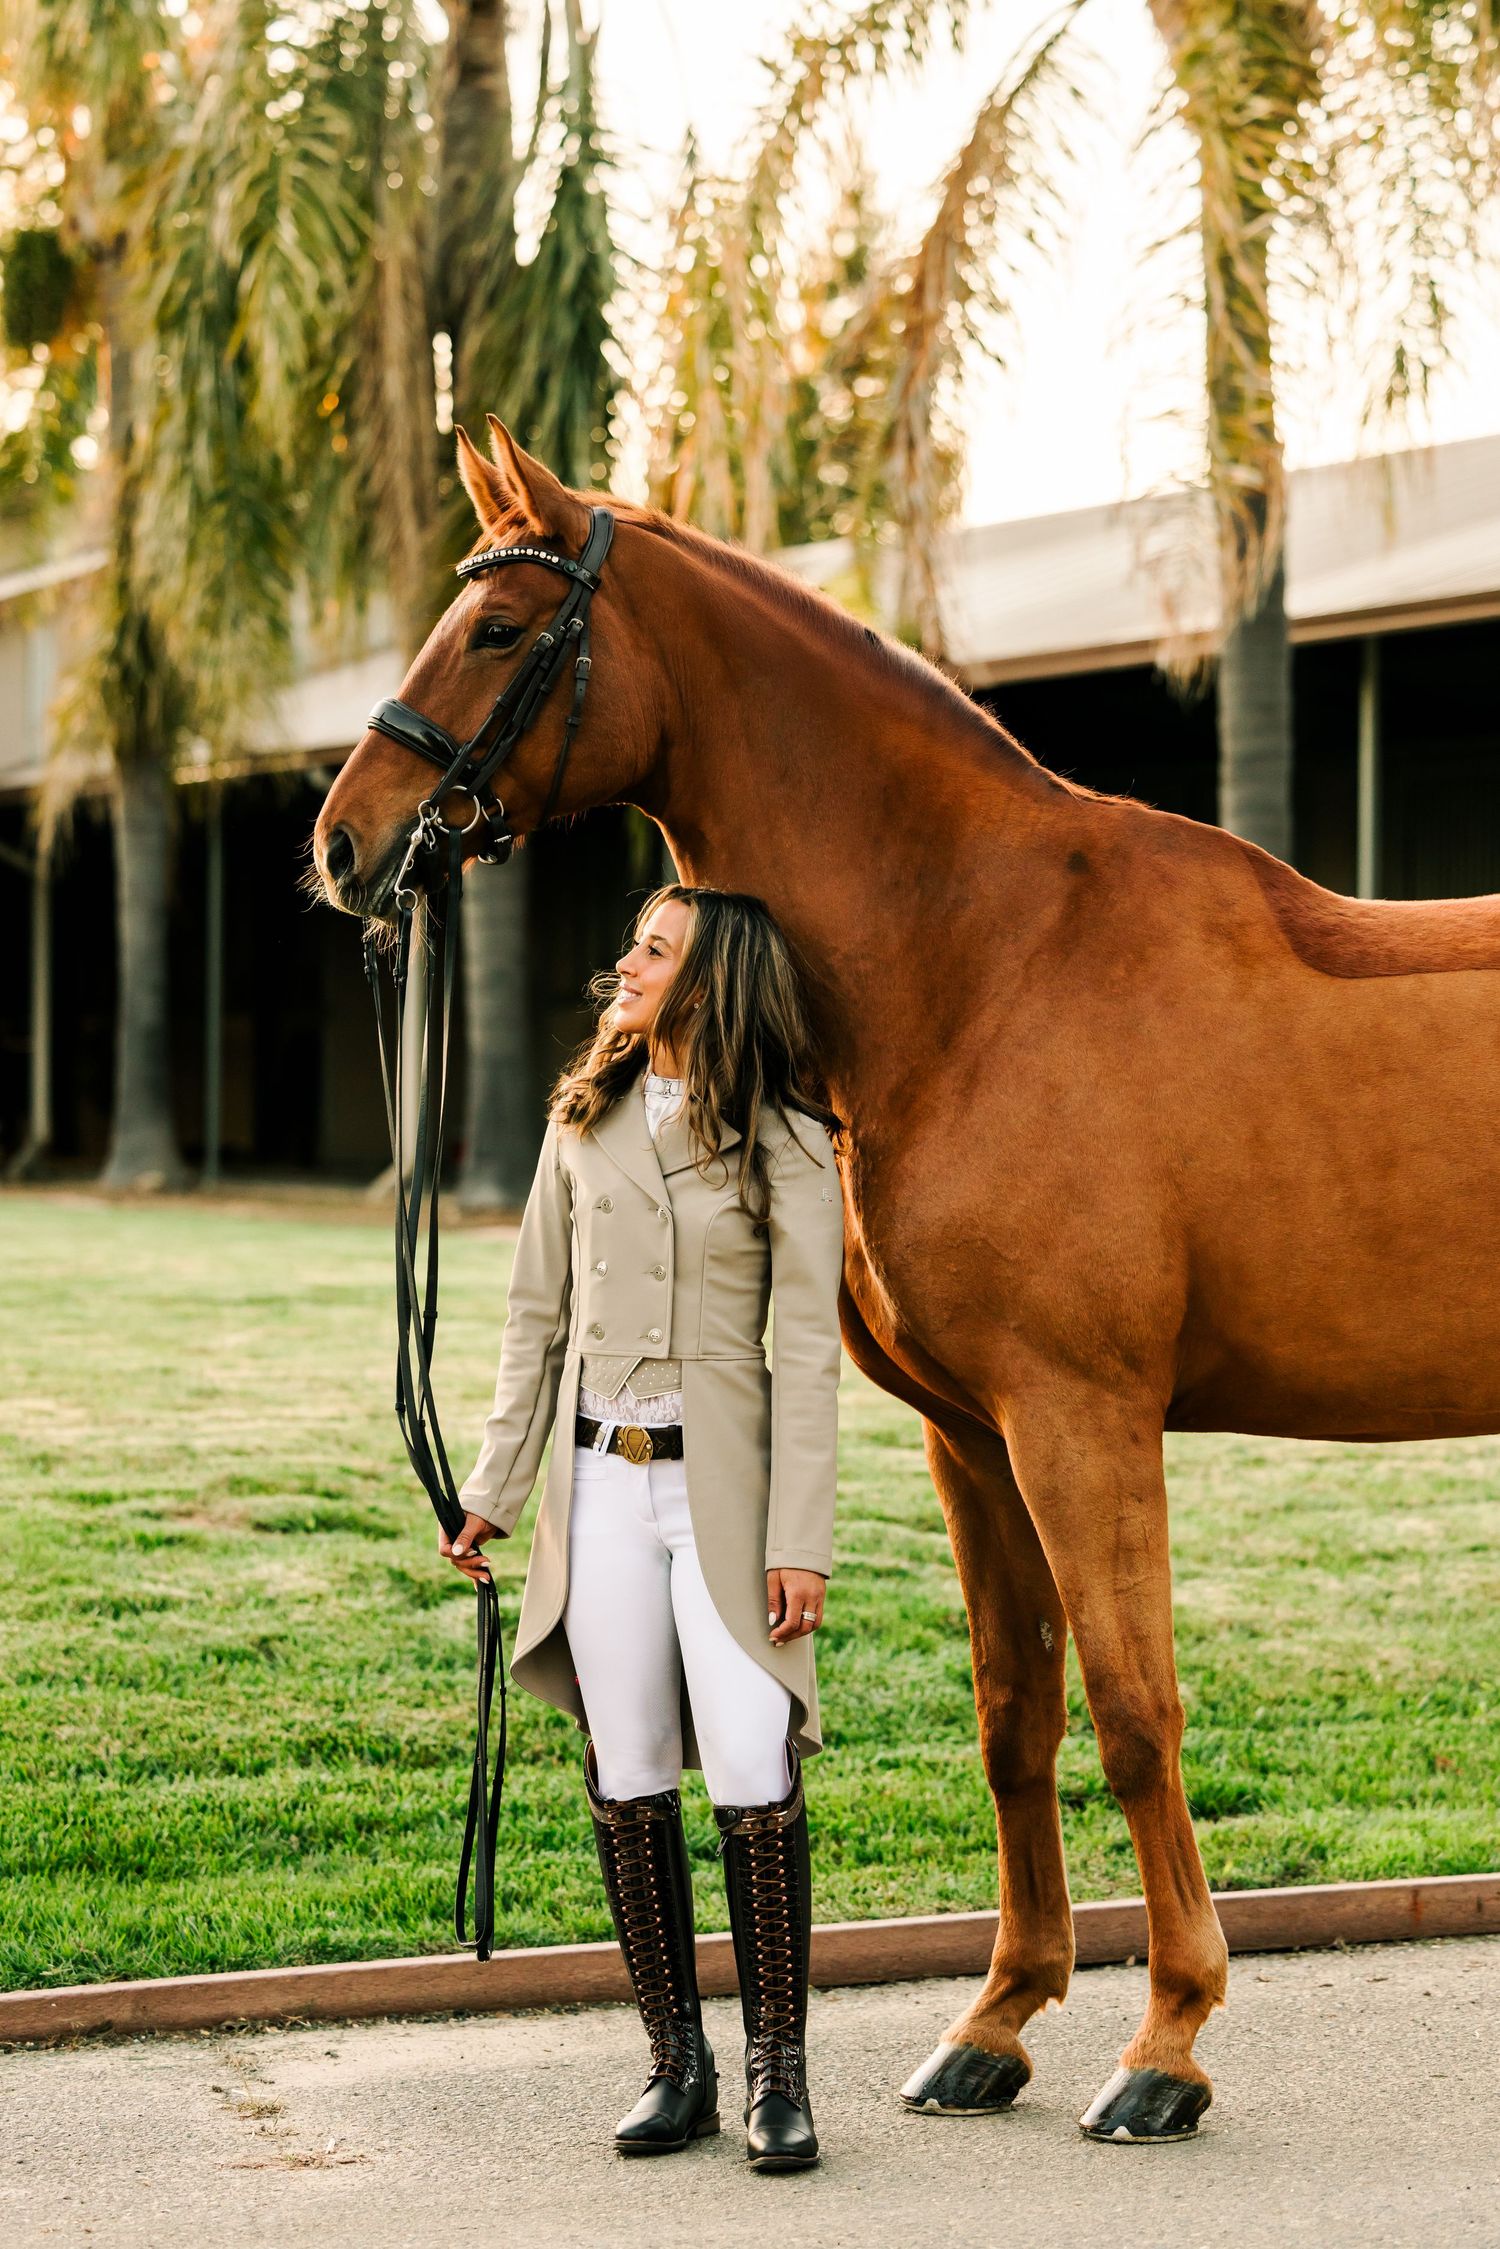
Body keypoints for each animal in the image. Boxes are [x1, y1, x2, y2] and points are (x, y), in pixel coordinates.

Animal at [312, 417, 1500, 2143]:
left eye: (502, 628)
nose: (345, 842)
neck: (986, 962)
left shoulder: (1082, 1419)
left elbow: (1132, 1710)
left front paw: (1167, 2044)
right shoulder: (975, 1433)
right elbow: (1015, 1715)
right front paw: (998, 2023)